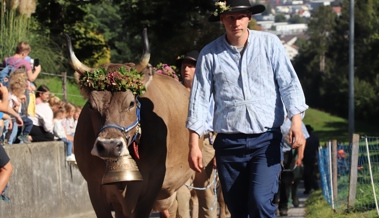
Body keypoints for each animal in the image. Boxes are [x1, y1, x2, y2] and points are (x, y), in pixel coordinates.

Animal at [65, 28, 196, 216]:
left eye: (131, 103)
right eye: (91, 105)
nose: (110, 146)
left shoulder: (152, 185)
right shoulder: (95, 187)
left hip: (183, 183)